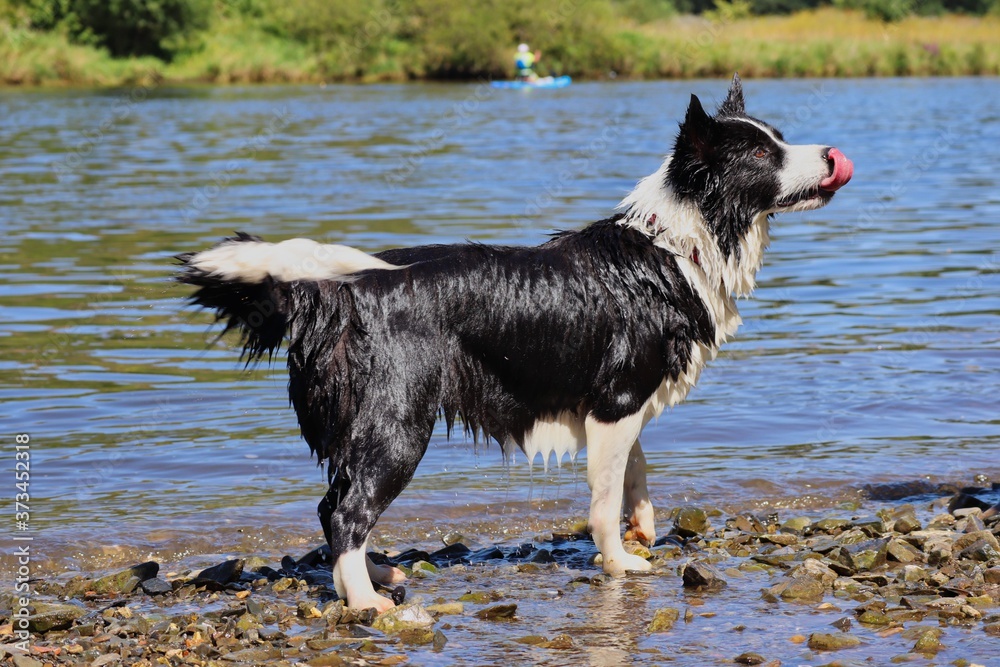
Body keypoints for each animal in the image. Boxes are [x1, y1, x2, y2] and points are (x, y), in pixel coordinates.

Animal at [178, 73, 852, 612]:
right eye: (762, 153)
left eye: (778, 137)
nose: (832, 155)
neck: (673, 244)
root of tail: (335, 291)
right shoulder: (616, 401)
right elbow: (603, 499)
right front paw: (620, 562)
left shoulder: (623, 402)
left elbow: (634, 473)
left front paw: (642, 528)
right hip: (399, 422)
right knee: (347, 510)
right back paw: (365, 600)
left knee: (334, 504)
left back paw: (373, 572)